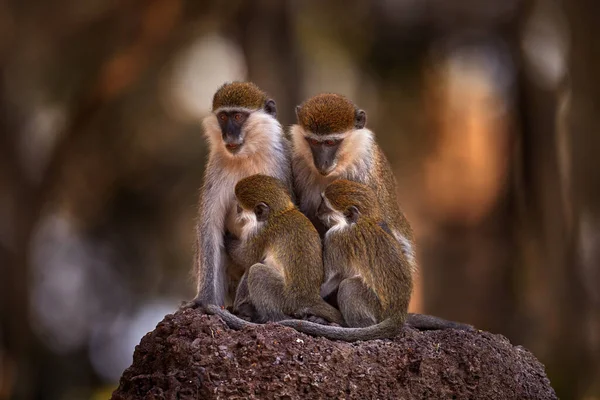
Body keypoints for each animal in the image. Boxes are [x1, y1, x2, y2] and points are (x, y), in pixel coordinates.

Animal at [186, 81, 292, 310]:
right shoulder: (216, 166)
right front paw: (205, 300)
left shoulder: (280, 163)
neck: (247, 156)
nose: (228, 135)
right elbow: (210, 225)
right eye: (223, 117)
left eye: (237, 117)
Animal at [205, 174, 342, 328]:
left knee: (255, 270)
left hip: (285, 298)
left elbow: (246, 258)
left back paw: (268, 316)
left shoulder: (260, 233)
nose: (236, 211)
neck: (279, 213)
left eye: (239, 208)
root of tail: (309, 298)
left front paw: (227, 237)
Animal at [278, 181, 472, 340]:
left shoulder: (335, 238)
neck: (360, 221)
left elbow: (328, 280)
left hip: (375, 308)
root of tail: (398, 313)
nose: (317, 211)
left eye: (324, 205)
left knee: (349, 286)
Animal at [290, 94, 474, 332]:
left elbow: (376, 226)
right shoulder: (299, 163)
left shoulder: (365, 174)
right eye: (313, 142)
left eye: (331, 142)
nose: (322, 163)